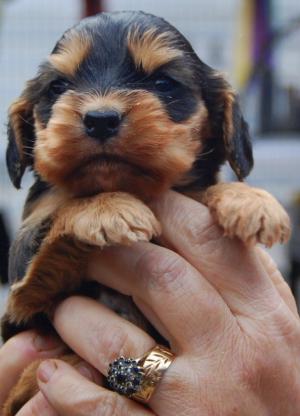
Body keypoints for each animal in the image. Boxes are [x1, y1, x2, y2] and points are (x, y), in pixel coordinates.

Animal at [0, 11, 290, 414]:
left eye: (163, 82)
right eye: (57, 87)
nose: (100, 118)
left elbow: (203, 189)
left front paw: (251, 201)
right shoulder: (24, 291)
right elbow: (64, 211)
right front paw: (107, 207)